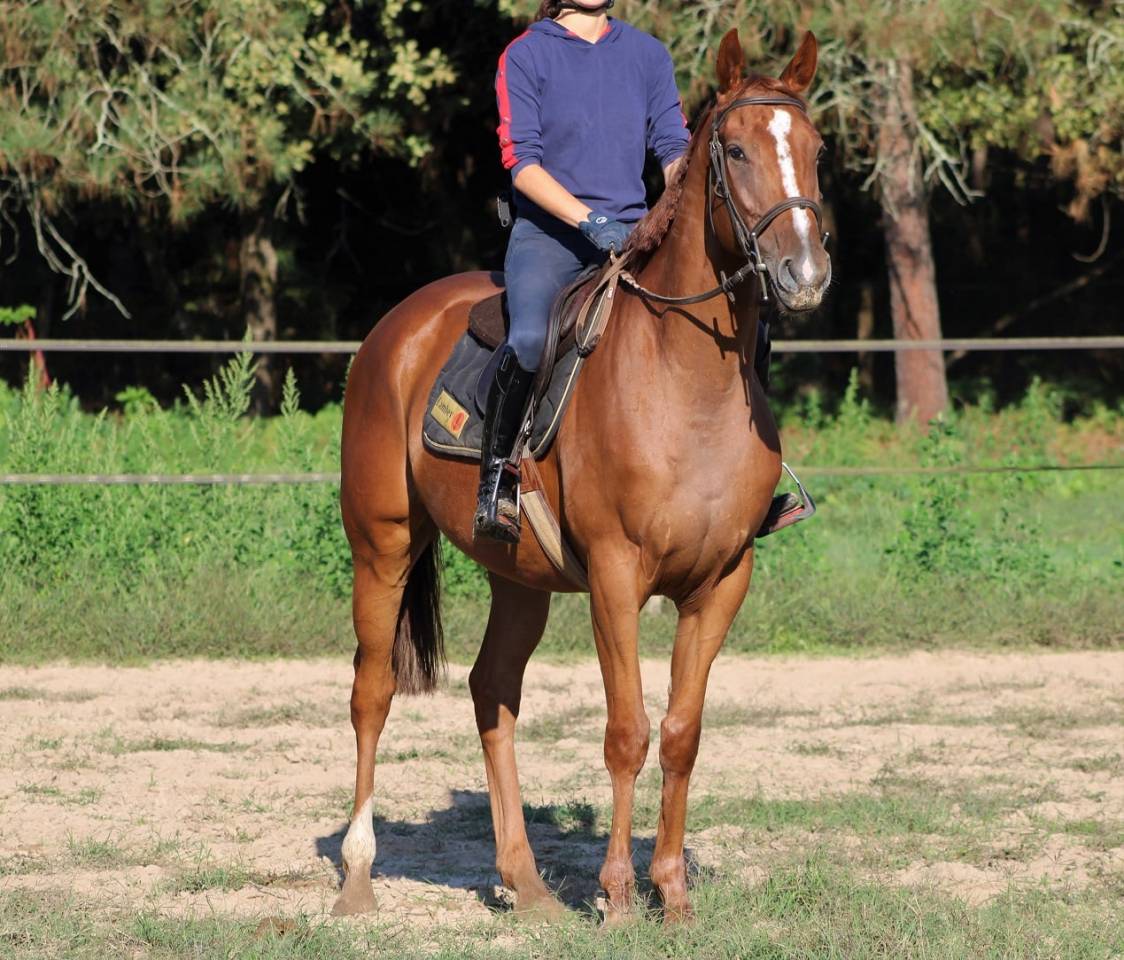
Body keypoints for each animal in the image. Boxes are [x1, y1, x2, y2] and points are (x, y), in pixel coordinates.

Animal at [333, 28, 830, 922]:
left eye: (815, 150)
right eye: (738, 150)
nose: (804, 275)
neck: (685, 383)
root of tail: (397, 327)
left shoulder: (722, 582)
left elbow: (681, 734)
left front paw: (673, 895)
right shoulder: (614, 574)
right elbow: (627, 732)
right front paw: (619, 894)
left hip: (517, 577)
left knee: (491, 693)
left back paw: (525, 883)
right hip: (381, 545)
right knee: (373, 691)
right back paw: (357, 877)